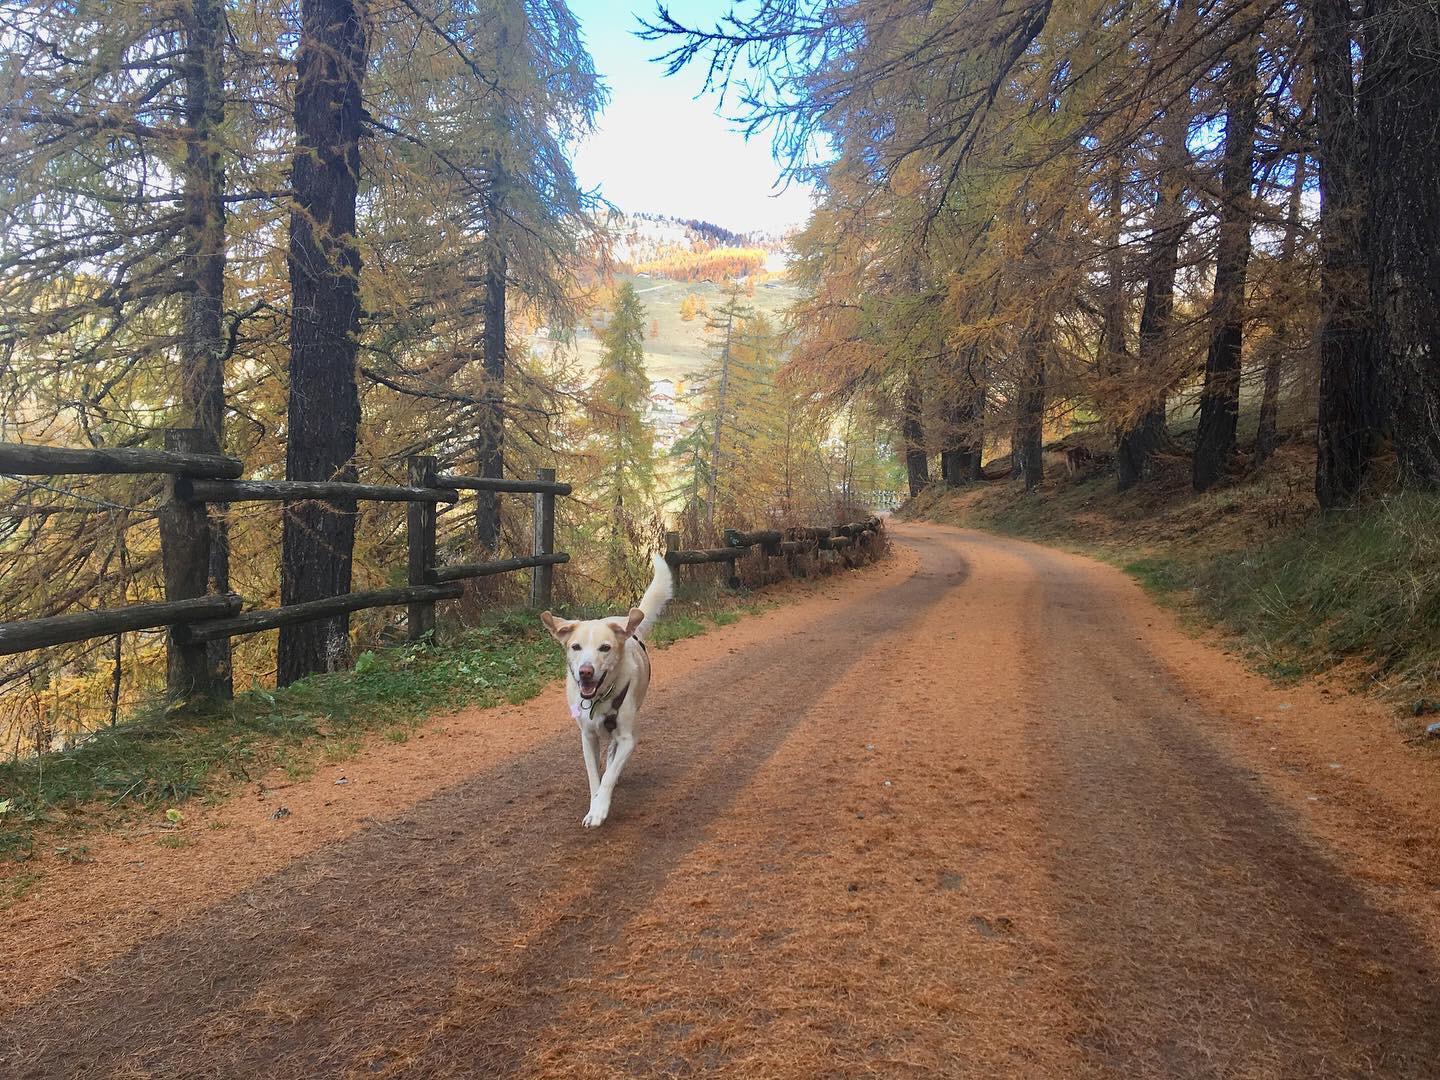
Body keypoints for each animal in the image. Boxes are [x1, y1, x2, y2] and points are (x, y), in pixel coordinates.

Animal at [541, 552, 673, 835]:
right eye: (576, 647)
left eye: (604, 648)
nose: (585, 672)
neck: (598, 700)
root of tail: (626, 623)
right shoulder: (587, 738)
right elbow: (594, 778)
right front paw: (594, 805)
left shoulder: (627, 738)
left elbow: (609, 776)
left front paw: (601, 809)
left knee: (613, 752)